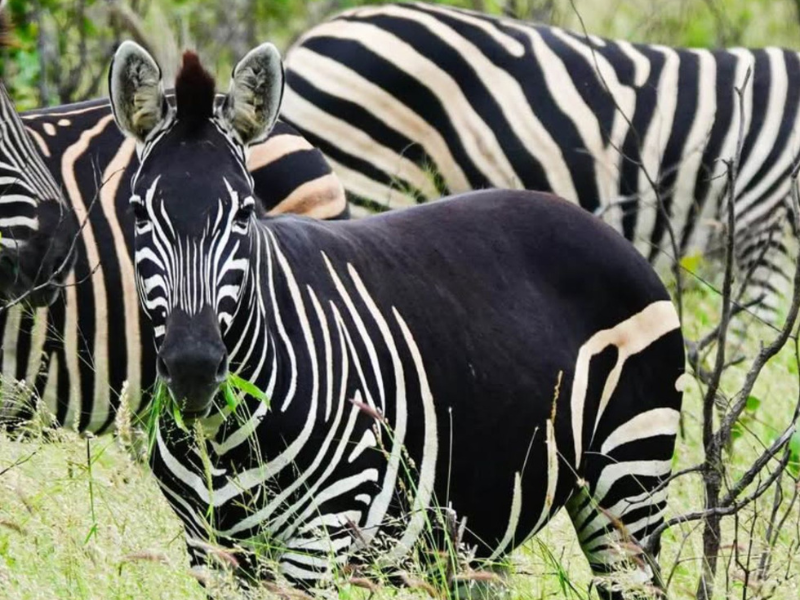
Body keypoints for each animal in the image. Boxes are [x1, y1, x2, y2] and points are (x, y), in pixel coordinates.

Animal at [110, 40, 686, 598]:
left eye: (246, 213)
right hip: (482, 524)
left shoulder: (320, 535)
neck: (221, 435)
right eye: (138, 213)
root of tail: (596, 224)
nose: (193, 370)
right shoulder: (211, 550)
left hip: (629, 478)